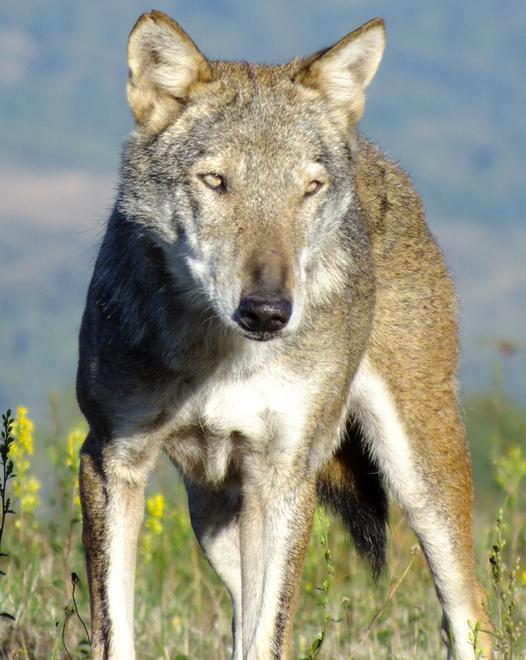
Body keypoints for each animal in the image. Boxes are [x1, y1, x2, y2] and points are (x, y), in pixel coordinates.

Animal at [77, 9, 492, 659]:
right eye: (215, 181)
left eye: (309, 188)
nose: (268, 312)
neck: (220, 356)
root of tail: (373, 153)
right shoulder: (109, 459)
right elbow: (114, 632)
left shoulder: (287, 478)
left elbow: (269, 636)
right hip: (218, 522)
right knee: (240, 616)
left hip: (422, 482)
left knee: (471, 613)